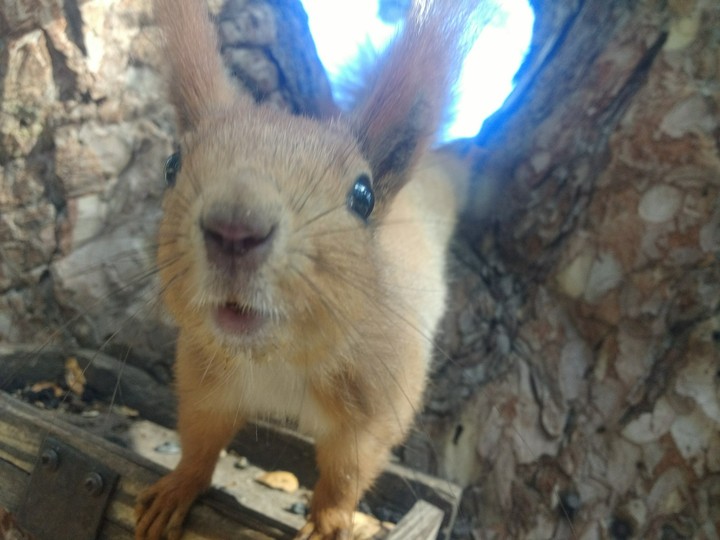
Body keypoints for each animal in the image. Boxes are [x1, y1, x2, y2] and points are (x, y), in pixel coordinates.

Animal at [135, 0, 477, 538]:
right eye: (172, 165)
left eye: (363, 196)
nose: (235, 228)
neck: (277, 361)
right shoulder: (206, 386)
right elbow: (199, 441)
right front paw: (174, 492)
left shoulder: (374, 412)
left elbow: (346, 475)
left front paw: (328, 525)